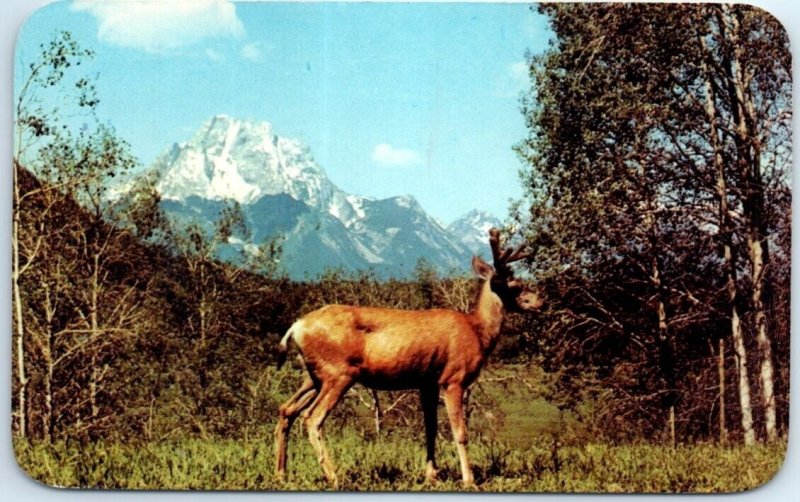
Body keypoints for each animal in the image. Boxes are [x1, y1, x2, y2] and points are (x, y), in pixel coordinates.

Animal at [272, 227, 540, 486]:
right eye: (515, 285)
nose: (540, 300)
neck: (477, 332)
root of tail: (296, 327)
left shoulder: (428, 382)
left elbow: (430, 428)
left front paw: (432, 475)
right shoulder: (453, 378)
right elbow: (460, 432)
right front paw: (469, 480)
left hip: (314, 376)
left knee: (287, 408)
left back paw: (281, 474)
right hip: (338, 373)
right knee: (312, 417)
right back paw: (333, 476)